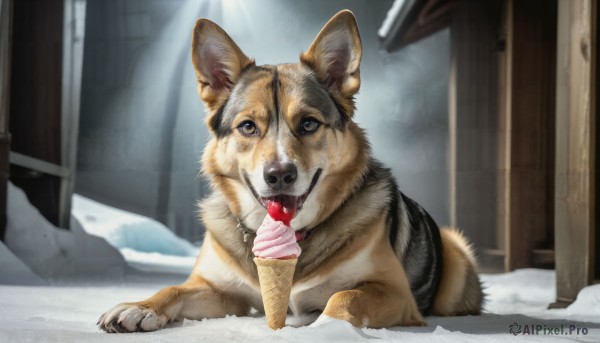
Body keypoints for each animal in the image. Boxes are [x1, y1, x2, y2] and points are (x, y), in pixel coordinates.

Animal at [98, 10, 482, 334]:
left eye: (309, 123)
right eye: (248, 127)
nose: (279, 175)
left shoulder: (393, 292)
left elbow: (345, 297)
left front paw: (326, 327)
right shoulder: (221, 292)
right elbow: (174, 288)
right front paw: (140, 307)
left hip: (455, 254)